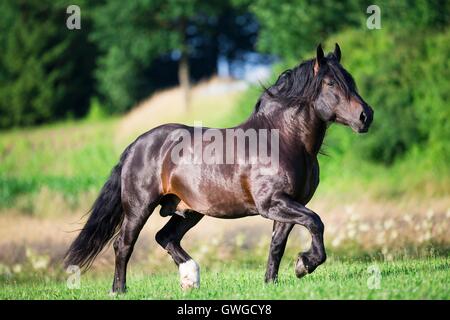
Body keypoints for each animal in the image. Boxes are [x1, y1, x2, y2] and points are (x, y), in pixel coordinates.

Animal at [63, 43, 372, 294]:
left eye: (350, 80)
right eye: (330, 83)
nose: (365, 116)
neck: (283, 140)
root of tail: (136, 145)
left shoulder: (290, 204)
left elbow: (278, 244)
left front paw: (273, 281)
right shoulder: (272, 203)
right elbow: (316, 222)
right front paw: (305, 264)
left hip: (188, 211)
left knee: (165, 237)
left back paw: (190, 278)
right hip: (139, 207)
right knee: (123, 244)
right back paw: (120, 290)